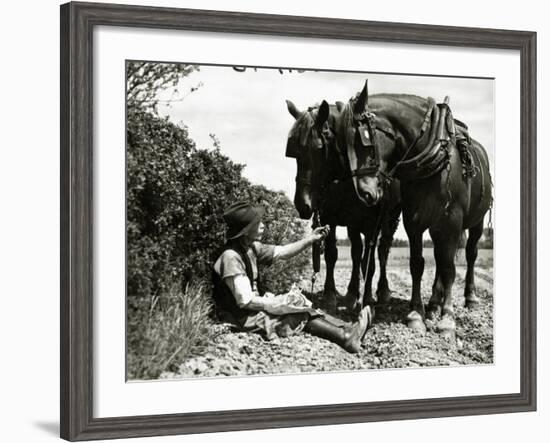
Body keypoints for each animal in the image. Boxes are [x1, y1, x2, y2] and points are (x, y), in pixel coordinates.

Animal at [288, 98, 402, 310]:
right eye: (295, 152)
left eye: (318, 148)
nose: (303, 204)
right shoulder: (331, 217)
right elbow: (333, 254)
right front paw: (331, 294)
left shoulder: (371, 222)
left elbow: (367, 259)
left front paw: (362, 297)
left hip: (390, 219)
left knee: (382, 251)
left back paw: (381, 291)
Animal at [336, 80, 496, 336]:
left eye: (363, 141)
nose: (365, 193)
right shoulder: (414, 221)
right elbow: (417, 264)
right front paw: (416, 313)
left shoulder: (452, 221)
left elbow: (450, 268)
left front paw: (447, 318)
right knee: (440, 259)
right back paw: (433, 304)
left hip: (475, 222)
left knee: (470, 254)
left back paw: (469, 298)